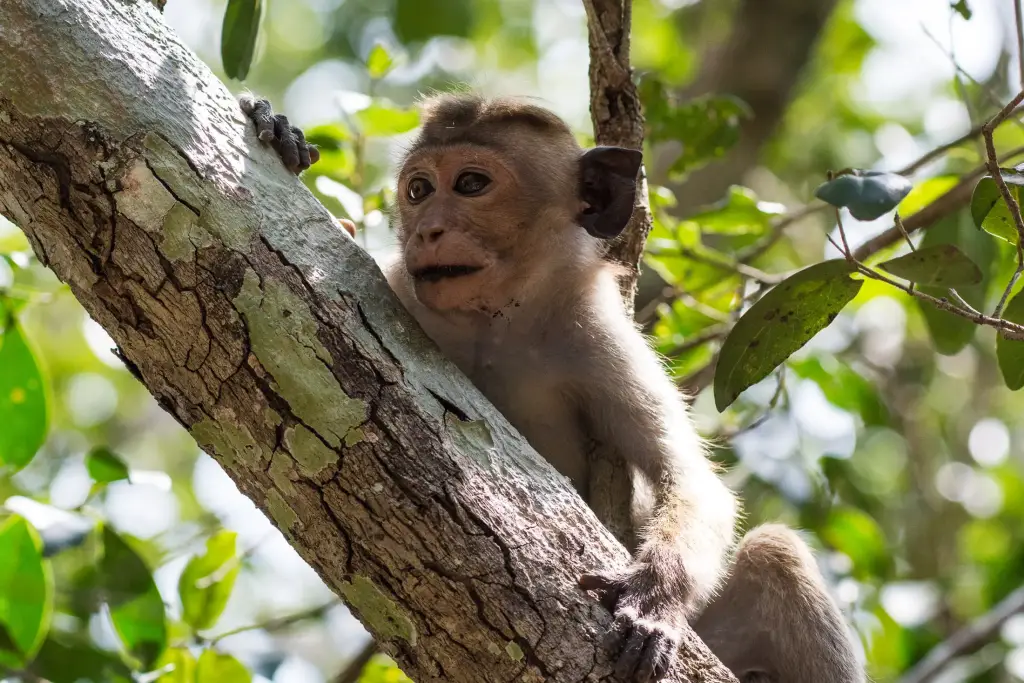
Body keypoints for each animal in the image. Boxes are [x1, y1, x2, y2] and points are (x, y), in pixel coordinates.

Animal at [241, 94, 864, 683]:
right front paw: (284, 134)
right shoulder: (396, 287)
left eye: (471, 184)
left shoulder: (597, 337)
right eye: (418, 190)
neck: (497, 321)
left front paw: (652, 598)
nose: (426, 230)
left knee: (774, 552)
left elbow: (686, 477)